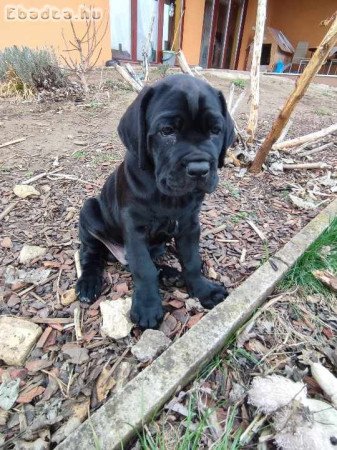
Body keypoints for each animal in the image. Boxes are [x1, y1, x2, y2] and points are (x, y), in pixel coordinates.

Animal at [76, 73, 234, 326]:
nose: (199, 169)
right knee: (91, 253)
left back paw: (170, 274)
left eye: (215, 130)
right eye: (167, 131)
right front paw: (148, 307)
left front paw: (203, 290)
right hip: (89, 210)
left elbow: (192, 261)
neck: (168, 196)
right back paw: (89, 283)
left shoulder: (190, 225)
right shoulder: (135, 228)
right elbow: (143, 268)